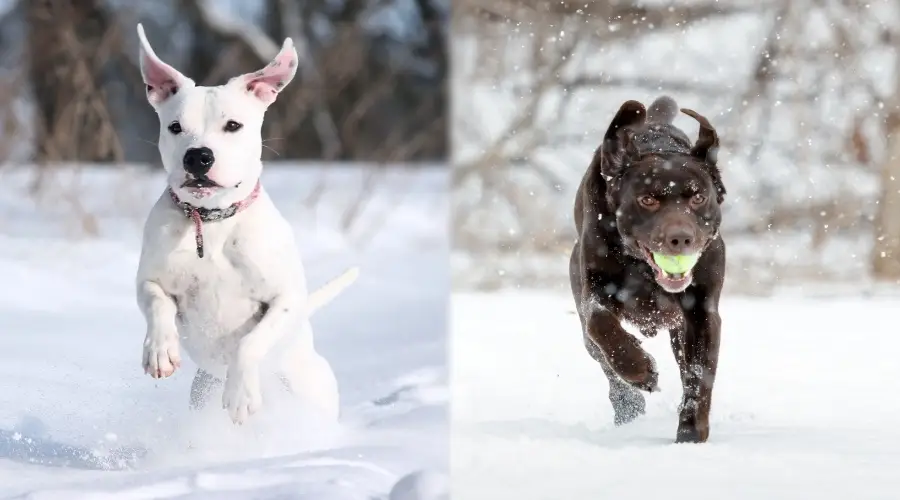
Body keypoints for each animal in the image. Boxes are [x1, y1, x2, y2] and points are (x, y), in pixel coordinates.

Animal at [134, 22, 358, 422]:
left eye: (233, 125)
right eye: (175, 127)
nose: (198, 157)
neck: (212, 222)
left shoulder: (285, 299)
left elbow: (251, 341)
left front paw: (240, 393)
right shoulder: (149, 279)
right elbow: (157, 302)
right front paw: (160, 351)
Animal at [572, 95, 728, 444]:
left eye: (699, 197)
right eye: (647, 200)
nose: (680, 239)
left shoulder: (702, 311)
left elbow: (699, 376)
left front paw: (690, 435)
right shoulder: (594, 290)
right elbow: (600, 322)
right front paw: (641, 369)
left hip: (679, 332)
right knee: (604, 362)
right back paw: (628, 406)